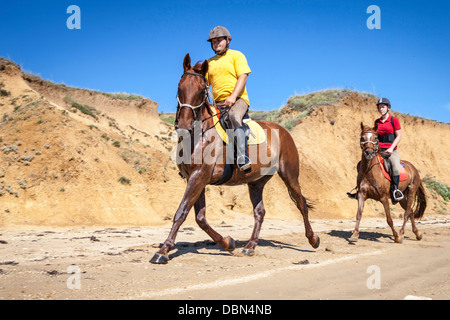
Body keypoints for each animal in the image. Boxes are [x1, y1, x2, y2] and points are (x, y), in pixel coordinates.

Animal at [151, 53, 320, 264]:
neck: (200, 134)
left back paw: (313, 239)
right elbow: (200, 218)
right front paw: (227, 242)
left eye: (201, 90)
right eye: (180, 87)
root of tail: (283, 130)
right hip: (256, 182)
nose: (183, 124)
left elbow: (181, 213)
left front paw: (163, 251)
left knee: (301, 203)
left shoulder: (199, 176)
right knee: (260, 212)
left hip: (289, 174)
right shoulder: (196, 179)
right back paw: (250, 246)